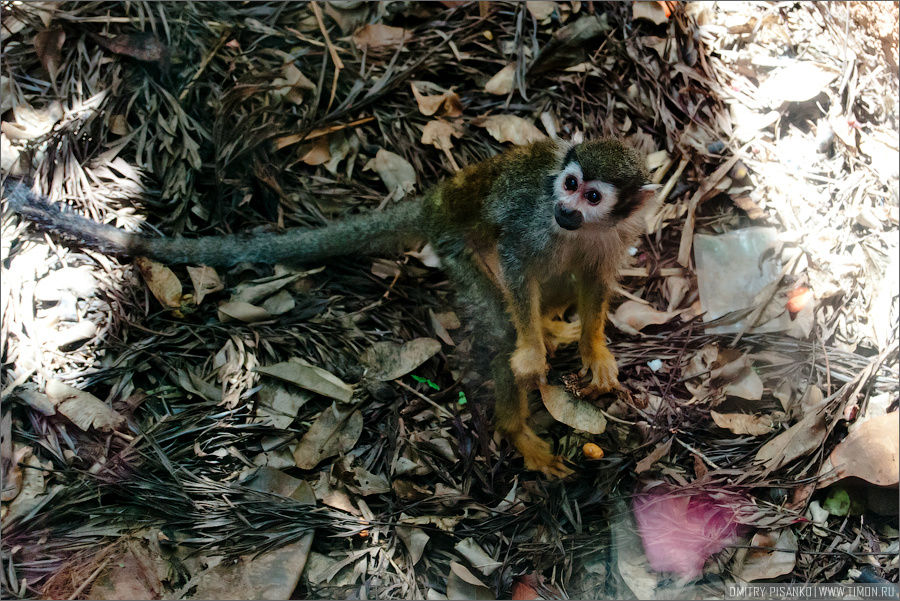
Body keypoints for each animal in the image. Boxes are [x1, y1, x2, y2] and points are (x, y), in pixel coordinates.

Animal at [5, 138, 652, 476]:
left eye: (594, 196)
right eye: (568, 185)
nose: (567, 207)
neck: (575, 224)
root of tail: (436, 199)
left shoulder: (612, 233)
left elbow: (596, 279)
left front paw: (594, 347)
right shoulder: (533, 224)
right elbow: (520, 268)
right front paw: (530, 349)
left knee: (562, 277)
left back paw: (552, 325)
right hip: (455, 244)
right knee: (496, 311)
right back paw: (519, 419)